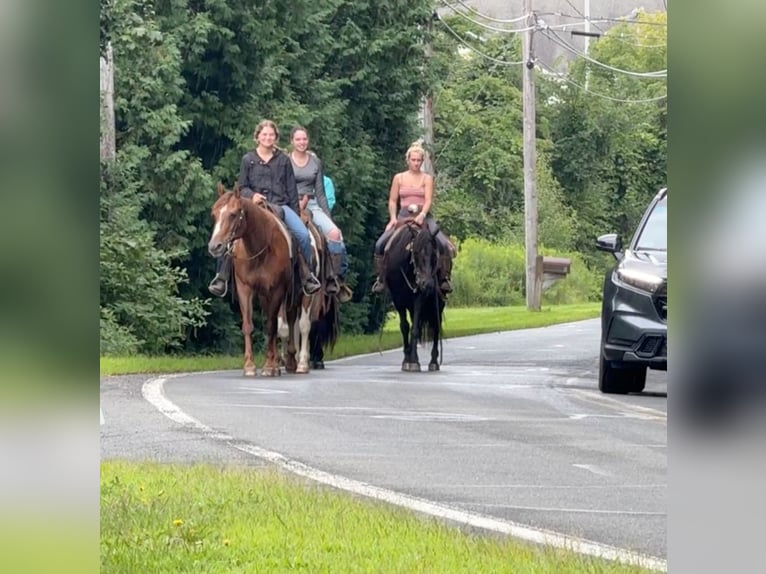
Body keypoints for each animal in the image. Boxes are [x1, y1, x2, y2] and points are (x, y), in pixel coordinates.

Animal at [208, 182, 314, 376]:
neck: (259, 248)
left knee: (290, 319)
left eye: (233, 214)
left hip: (293, 292)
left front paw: (269, 366)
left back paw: (289, 362)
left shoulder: (277, 289)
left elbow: (271, 326)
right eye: (214, 213)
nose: (215, 246)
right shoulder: (245, 288)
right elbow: (248, 325)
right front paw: (249, 366)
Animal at [382, 220, 448, 374]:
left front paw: (413, 361)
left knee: (436, 327)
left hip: (438, 303)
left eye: (434, 254)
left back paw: (434, 362)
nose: (428, 284)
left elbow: (415, 329)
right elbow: (405, 327)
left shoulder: (419, 299)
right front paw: (407, 360)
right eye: (416, 253)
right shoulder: (398, 300)